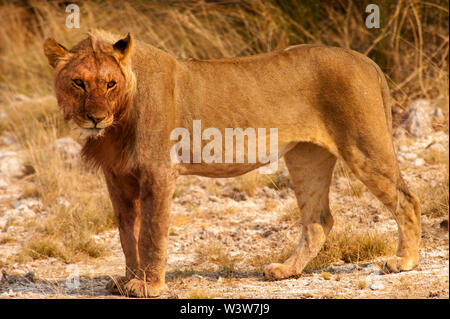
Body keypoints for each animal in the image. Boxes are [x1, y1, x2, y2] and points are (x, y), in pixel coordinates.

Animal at [44, 31, 420, 298]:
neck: (119, 118)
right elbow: (127, 235)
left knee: (407, 199)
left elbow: (151, 233)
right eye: (78, 82)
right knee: (319, 220)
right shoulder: (117, 178)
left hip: (363, 145)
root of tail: (365, 60)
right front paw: (128, 282)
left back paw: (404, 261)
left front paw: (149, 286)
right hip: (306, 156)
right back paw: (286, 270)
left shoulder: (159, 172)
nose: (95, 118)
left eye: (110, 83)